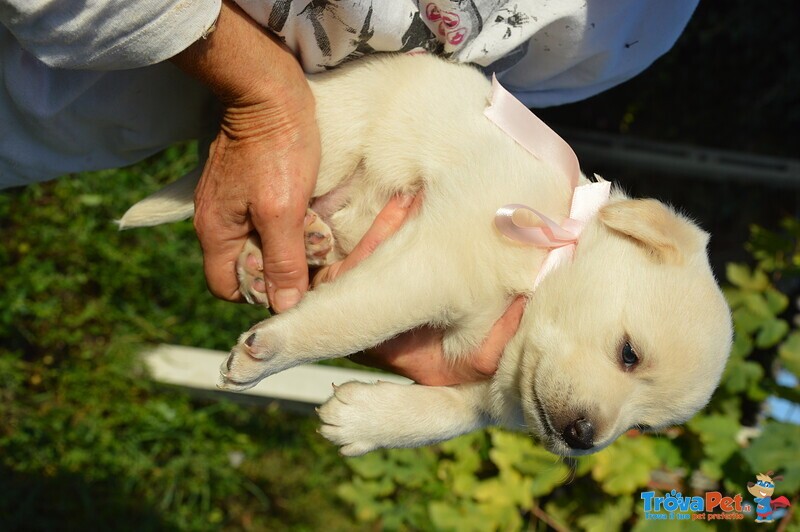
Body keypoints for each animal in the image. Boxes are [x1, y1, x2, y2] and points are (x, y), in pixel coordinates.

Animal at [120, 56, 732, 460]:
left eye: (645, 427)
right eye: (629, 354)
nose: (583, 440)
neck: (546, 266)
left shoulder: (488, 388)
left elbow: (450, 417)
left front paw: (361, 422)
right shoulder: (438, 266)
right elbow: (352, 318)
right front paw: (267, 353)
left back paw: (286, 251)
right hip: (331, 141)